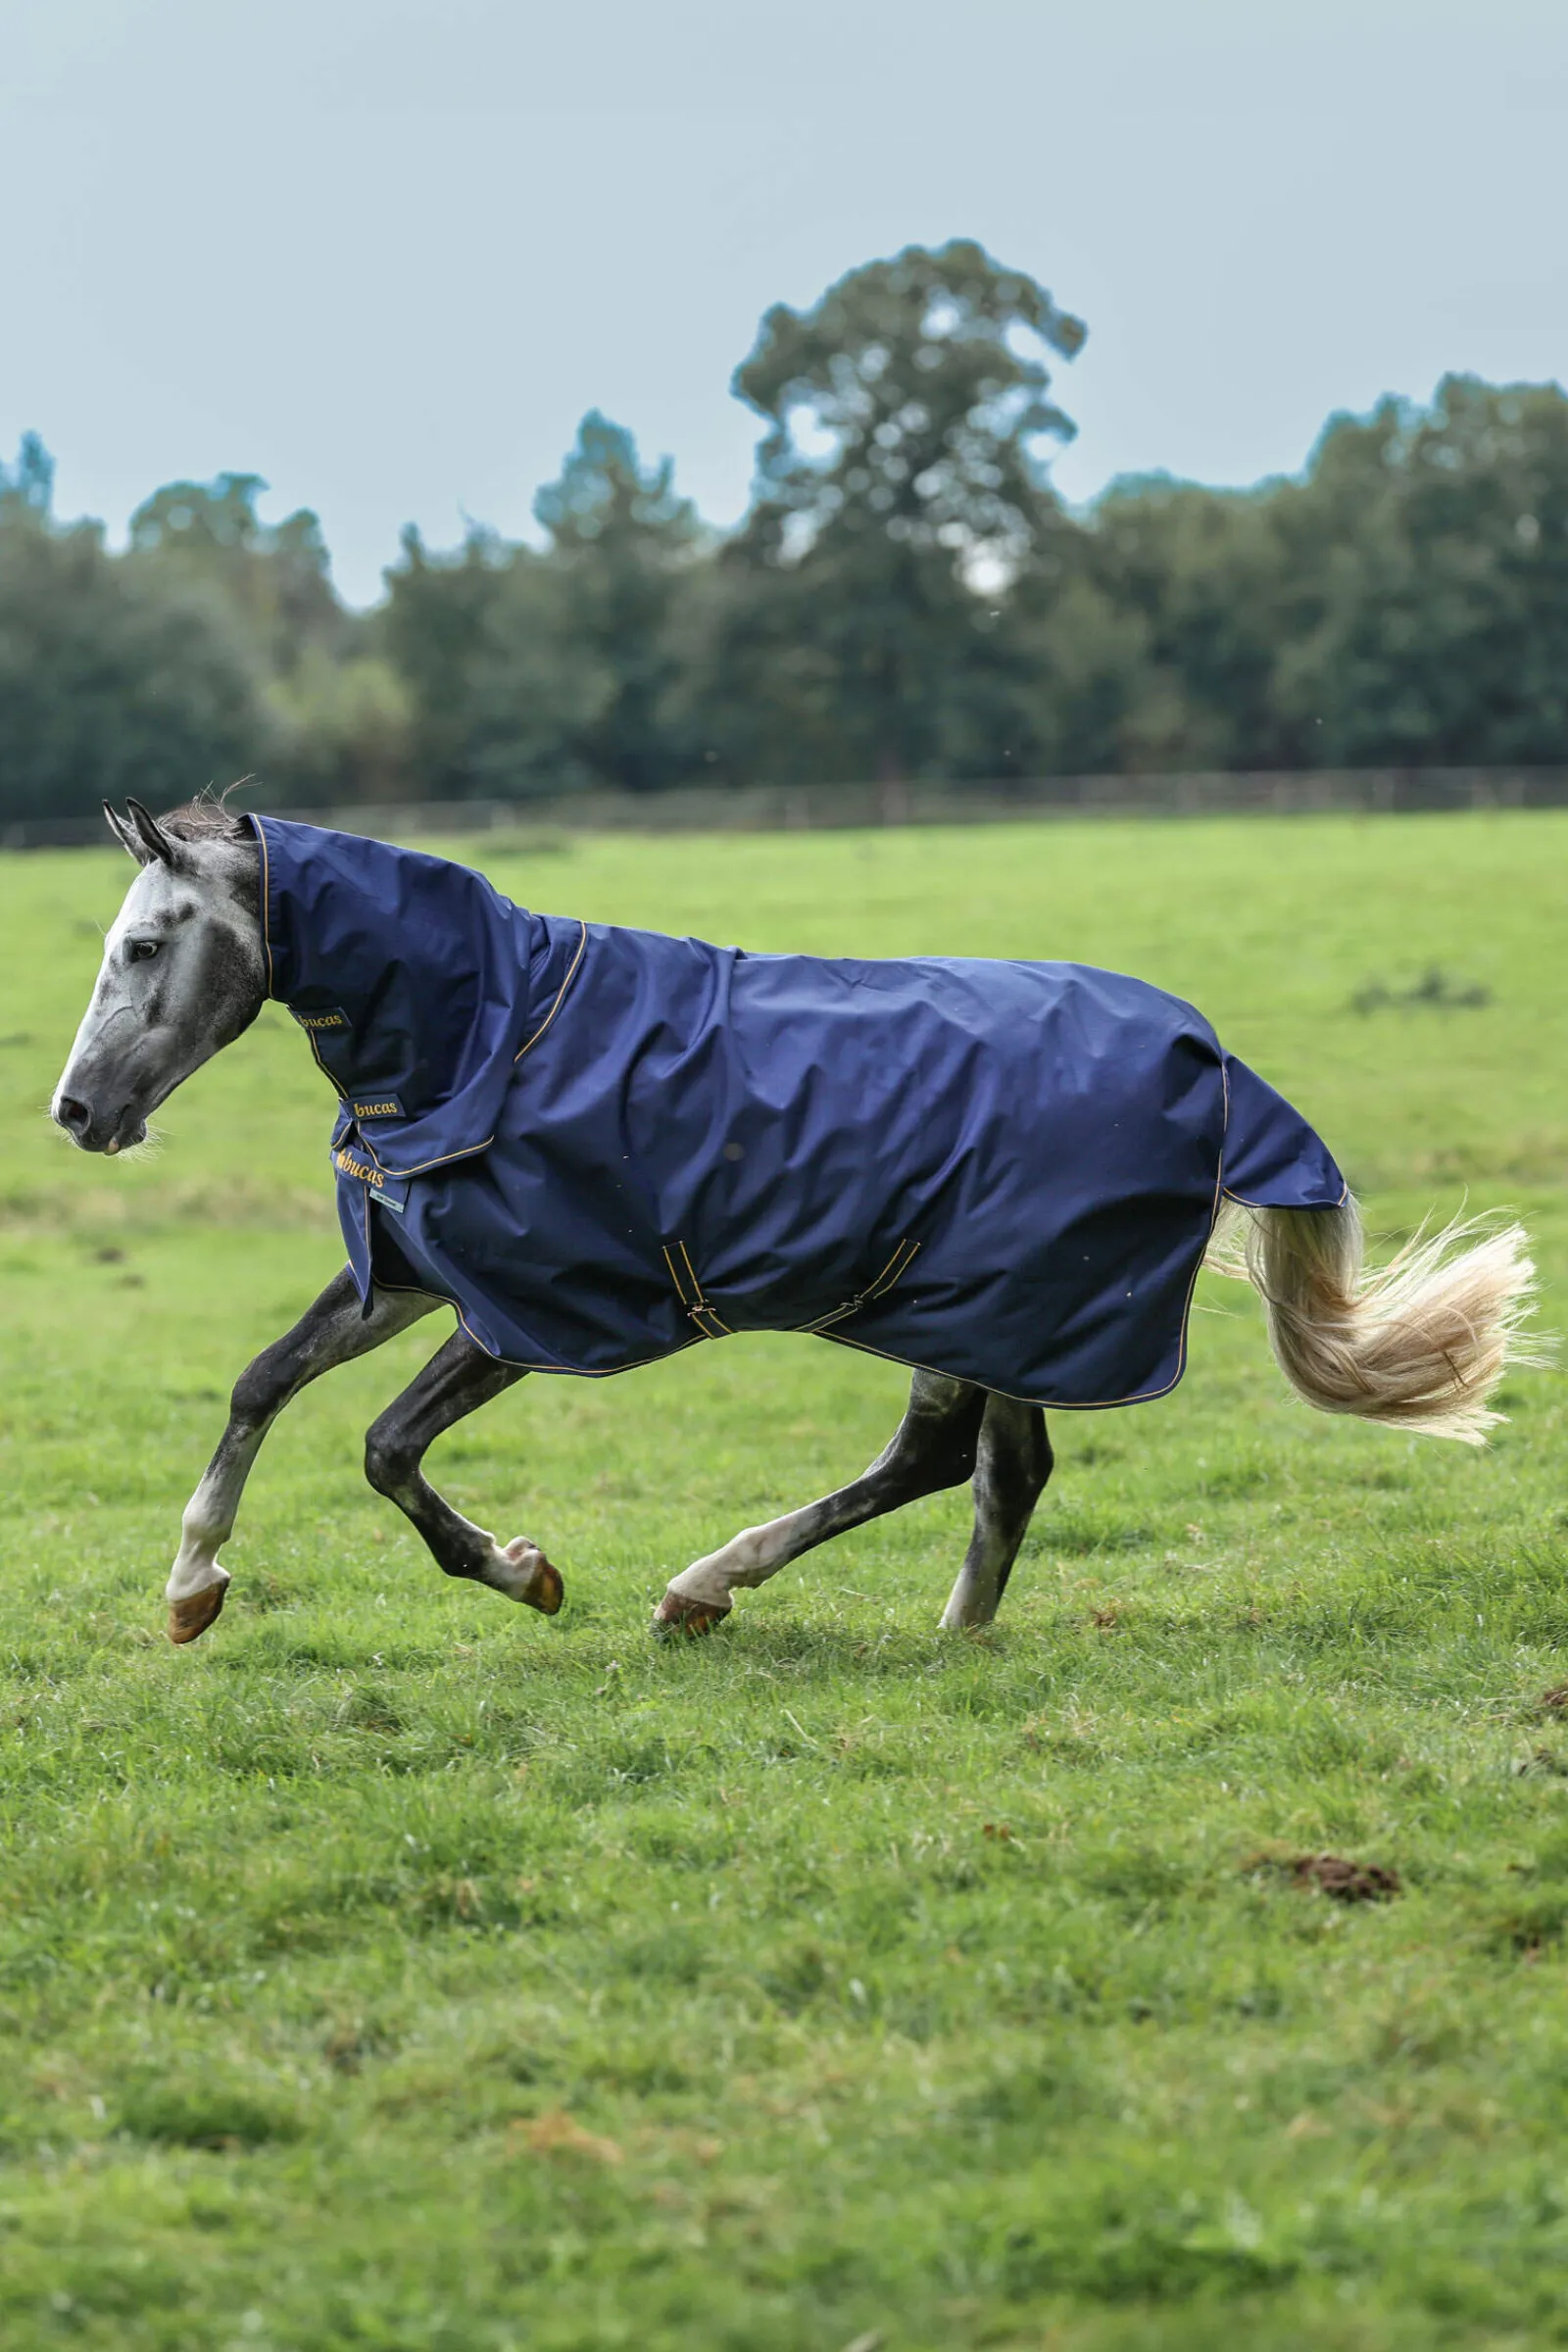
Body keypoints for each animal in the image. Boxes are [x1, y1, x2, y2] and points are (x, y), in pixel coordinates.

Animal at [52, 795, 1541, 1649]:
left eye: (143, 946)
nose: (76, 1111)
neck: (493, 1035)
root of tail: (1219, 1065)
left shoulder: (535, 1306)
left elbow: (383, 1448)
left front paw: (522, 1572)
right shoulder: (418, 1268)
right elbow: (262, 1383)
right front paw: (190, 1590)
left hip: (994, 1306)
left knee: (953, 1463)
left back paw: (720, 1590)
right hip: (994, 1313)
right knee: (992, 1472)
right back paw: (935, 1632)